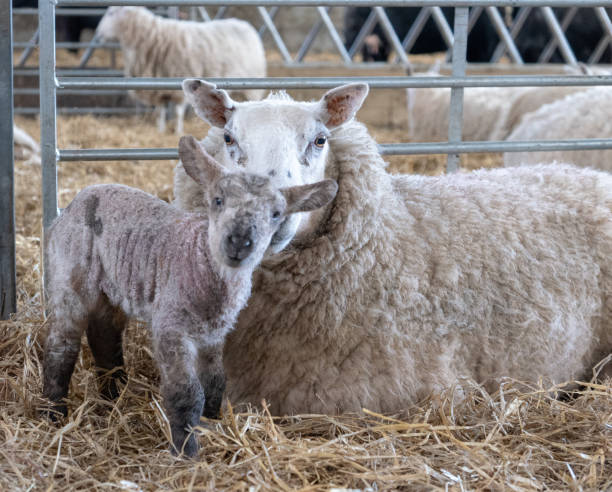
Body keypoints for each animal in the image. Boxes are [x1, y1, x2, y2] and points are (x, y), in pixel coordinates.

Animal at [41, 135, 340, 458]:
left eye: (275, 214)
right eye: (218, 200)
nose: (239, 242)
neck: (202, 262)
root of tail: (76, 200)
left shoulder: (214, 333)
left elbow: (216, 380)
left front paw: (211, 421)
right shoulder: (171, 327)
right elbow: (186, 391)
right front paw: (186, 449)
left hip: (111, 286)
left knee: (104, 334)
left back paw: (113, 395)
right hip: (71, 272)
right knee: (62, 344)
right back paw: (53, 412)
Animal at [97, 8, 266, 135]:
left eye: (111, 13)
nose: (98, 34)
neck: (152, 38)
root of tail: (245, 24)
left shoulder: (180, 82)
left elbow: (178, 112)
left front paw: (178, 131)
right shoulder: (158, 89)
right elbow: (160, 112)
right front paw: (160, 130)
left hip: (252, 82)